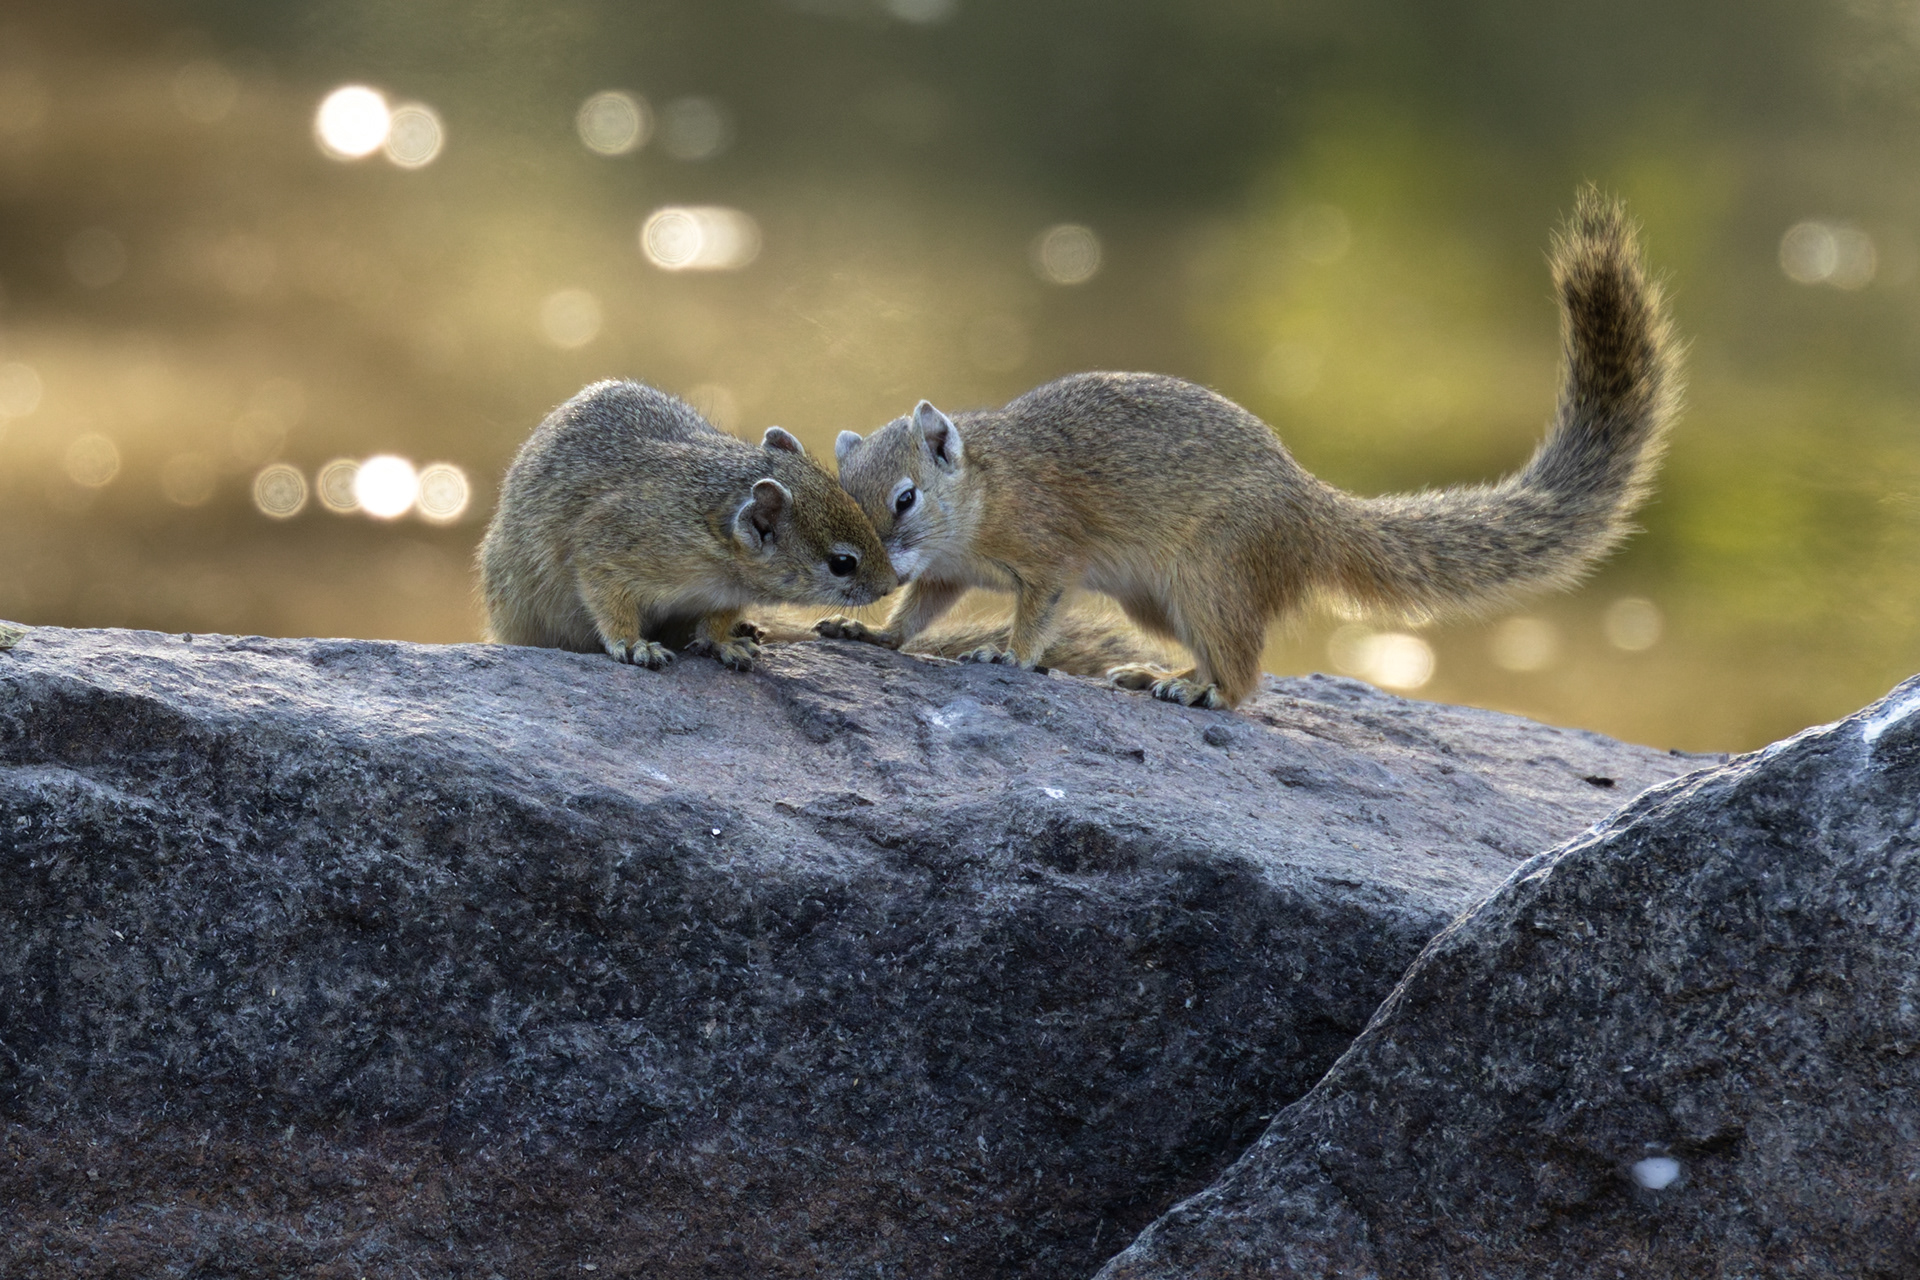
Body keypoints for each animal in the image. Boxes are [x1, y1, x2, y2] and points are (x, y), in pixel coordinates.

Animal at [479, 380, 896, 671]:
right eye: (842, 563)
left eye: (858, 508)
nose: (890, 585)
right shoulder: (606, 548)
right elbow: (611, 606)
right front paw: (633, 644)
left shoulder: (727, 597)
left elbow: (715, 622)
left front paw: (724, 642)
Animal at [816, 189, 1681, 710]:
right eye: (840, 495)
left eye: (904, 498)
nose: (871, 570)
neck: (987, 487)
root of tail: (1313, 508)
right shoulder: (946, 575)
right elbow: (918, 612)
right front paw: (874, 632)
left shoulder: (1049, 551)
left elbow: (1039, 608)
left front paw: (1009, 655)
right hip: (1159, 601)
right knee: (1222, 658)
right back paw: (1161, 674)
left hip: (1212, 575)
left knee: (1244, 677)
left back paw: (1197, 692)